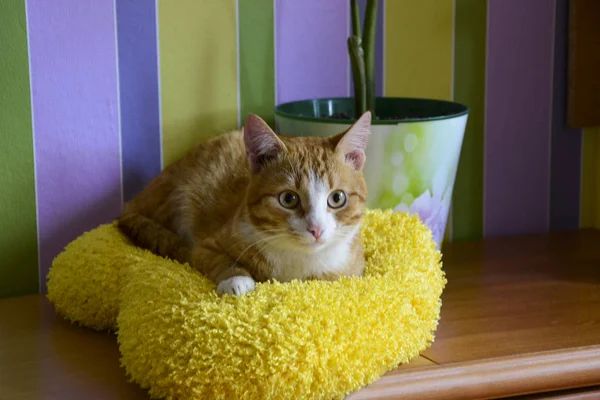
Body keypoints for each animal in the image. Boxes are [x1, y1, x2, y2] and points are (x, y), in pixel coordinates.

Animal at [117, 111, 370, 296]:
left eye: (337, 198)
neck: (299, 262)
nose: (316, 229)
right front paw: (236, 279)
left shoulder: (351, 270)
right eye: (288, 199)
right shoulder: (205, 247)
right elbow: (218, 259)